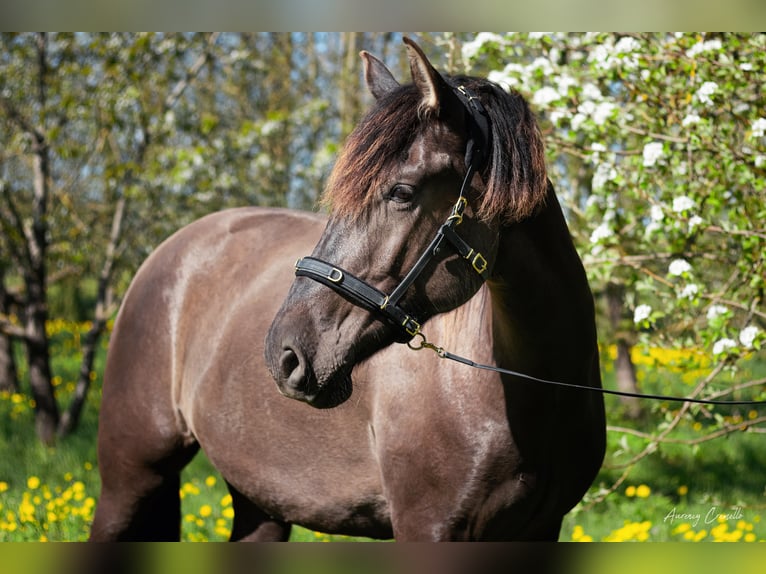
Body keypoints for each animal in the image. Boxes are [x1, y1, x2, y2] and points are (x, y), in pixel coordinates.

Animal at [90, 38, 608, 544]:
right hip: (128, 479)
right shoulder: (429, 527)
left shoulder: (542, 528)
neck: (536, 392)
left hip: (260, 499)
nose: (285, 353)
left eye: (401, 192)